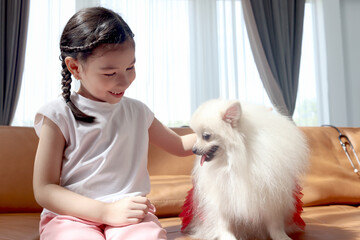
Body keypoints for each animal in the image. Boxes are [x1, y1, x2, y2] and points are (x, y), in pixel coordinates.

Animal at [180, 99, 310, 240]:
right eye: (196, 135)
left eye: (206, 136)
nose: (194, 149)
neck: (235, 159)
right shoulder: (222, 195)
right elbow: (223, 222)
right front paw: (228, 237)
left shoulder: (270, 195)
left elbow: (275, 223)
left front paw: (281, 236)